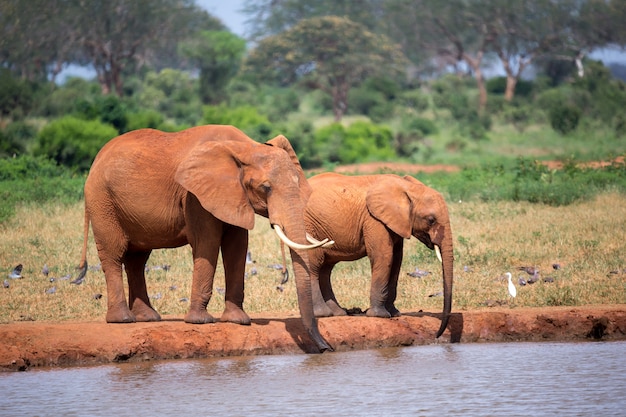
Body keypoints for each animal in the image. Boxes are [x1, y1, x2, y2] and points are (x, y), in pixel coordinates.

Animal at [304, 172, 454, 338]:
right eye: (431, 220)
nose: (437, 334)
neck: (407, 188)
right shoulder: (374, 220)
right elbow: (384, 257)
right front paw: (380, 315)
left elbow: (396, 261)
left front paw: (395, 314)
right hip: (309, 227)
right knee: (315, 266)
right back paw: (323, 313)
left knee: (325, 269)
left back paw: (338, 313)